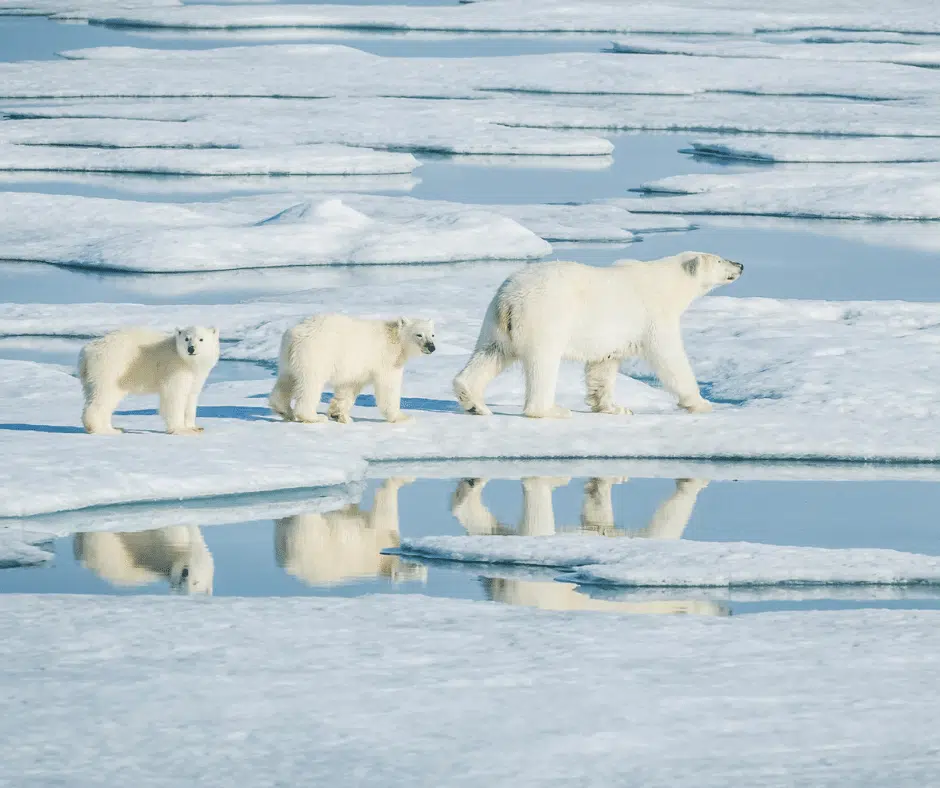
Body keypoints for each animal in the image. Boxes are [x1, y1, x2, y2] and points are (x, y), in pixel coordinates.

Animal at [78, 326, 221, 438]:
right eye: (187, 338)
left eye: (201, 339)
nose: (191, 349)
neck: (187, 362)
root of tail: (87, 351)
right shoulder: (175, 369)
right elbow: (174, 396)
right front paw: (181, 430)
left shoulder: (196, 376)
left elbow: (191, 397)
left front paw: (195, 427)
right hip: (111, 367)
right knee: (104, 396)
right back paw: (101, 429)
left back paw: (114, 428)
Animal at [268, 312, 436, 424]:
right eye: (419, 334)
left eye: (432, 335)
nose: (431, 347)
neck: (395, 339)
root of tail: (296, 333)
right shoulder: (387, 360)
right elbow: (388, 387)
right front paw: (403, 417)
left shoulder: (357, 368)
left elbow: (348, 388)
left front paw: (340, 415)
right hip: (316, 354)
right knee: (310, 384)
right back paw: (313, 417)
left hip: (288, 357)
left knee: (286, 380)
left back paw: (284, 410)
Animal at [454, 255, 740, 422]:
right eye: (721, 260)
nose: (740, 265)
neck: (667, 282)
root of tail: (509, 298)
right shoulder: (653, 315)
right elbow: (669, 357)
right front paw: (701, 403)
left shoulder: (612, 336)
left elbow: (603, 365)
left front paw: (614, 408)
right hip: (545, 316)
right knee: (543, 363)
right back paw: (552, 410)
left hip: (495, 323)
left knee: (490, 353)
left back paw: (474, 403)